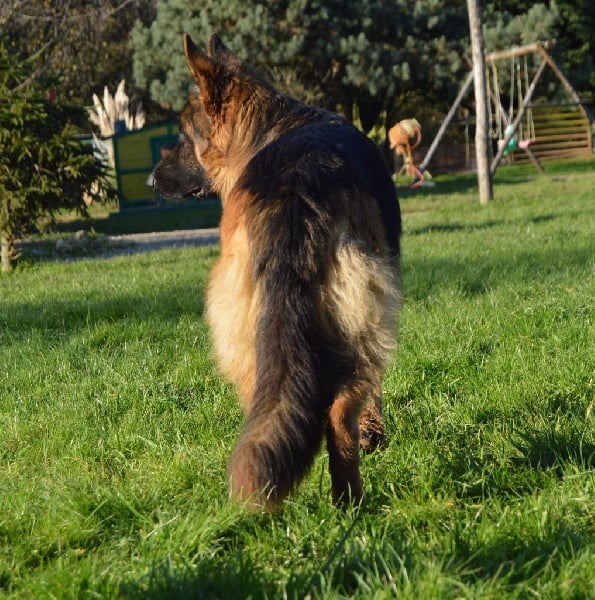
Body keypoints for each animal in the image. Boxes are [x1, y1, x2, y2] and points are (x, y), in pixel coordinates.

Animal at [147, 32, 402, 508]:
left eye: (183, 136)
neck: (274, 124)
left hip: (249, 329)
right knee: (342, 407)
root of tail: (296, 186)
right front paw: (374, 435)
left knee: (280, 406)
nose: (151, 181)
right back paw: (349, 500)